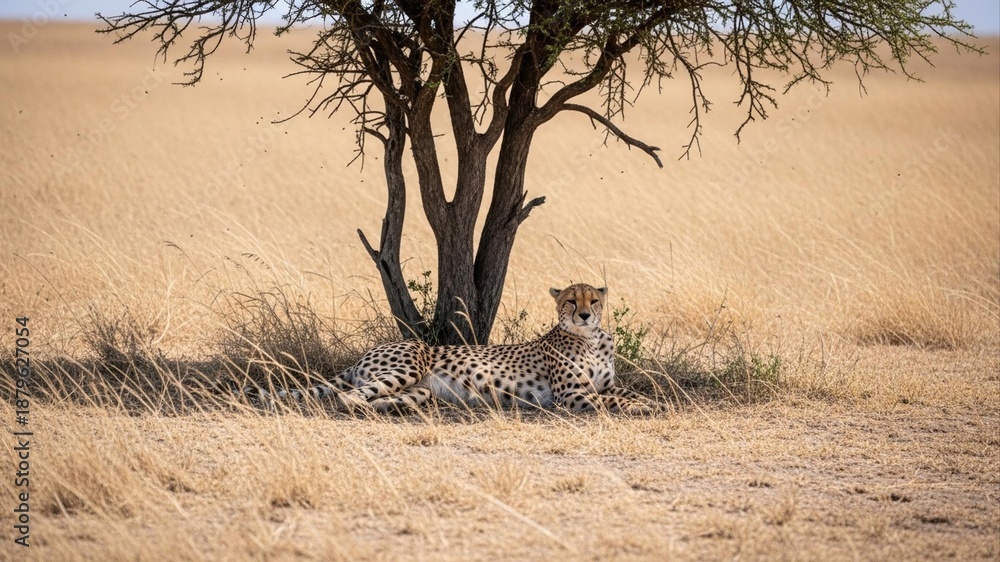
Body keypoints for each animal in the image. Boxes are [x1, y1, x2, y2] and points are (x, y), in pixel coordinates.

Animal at [245, 284, 655, 414]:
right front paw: (648, 408)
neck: (591, 338)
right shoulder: (572, 395)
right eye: (571, 300)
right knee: (345, 398)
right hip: (408, 365)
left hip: (421, 388)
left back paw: (393, 410)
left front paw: (650, 401)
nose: (585, 314)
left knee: (379, 397)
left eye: (593, 301)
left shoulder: (600, 385)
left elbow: (623, 392)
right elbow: (614, 401)